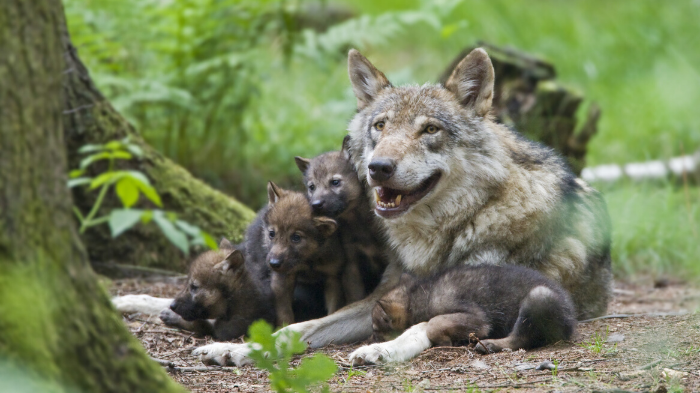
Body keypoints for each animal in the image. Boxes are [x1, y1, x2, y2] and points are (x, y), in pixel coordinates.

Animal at [360, 264, 576, 364]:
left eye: (375, 329)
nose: (368, 341)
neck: (421, 296)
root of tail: (570, 321)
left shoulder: (477, 318)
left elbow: (433, 324)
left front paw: (445, 341)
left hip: (538, 297)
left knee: (520, 338)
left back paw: (490, 344)